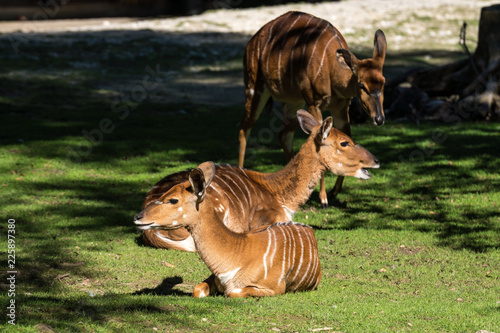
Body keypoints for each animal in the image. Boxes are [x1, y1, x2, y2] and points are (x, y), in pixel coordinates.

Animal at [134, 161, 320, 296]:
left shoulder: (274, 289)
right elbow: (197, 290)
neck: (236, 255)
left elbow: (233, 293)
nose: (138, 217)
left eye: (173, 200)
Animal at [238, 11, 386, 208]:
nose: (379, 119)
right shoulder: (314, 102)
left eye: (383, 82)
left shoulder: (341, 107)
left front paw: (334, 191)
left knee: (283, 135)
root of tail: (251, 42)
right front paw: (323, 199)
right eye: (362, 85)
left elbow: (345, 135)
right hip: (254, 88)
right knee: (244, 128)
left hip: (293, 102)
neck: (331, 68)